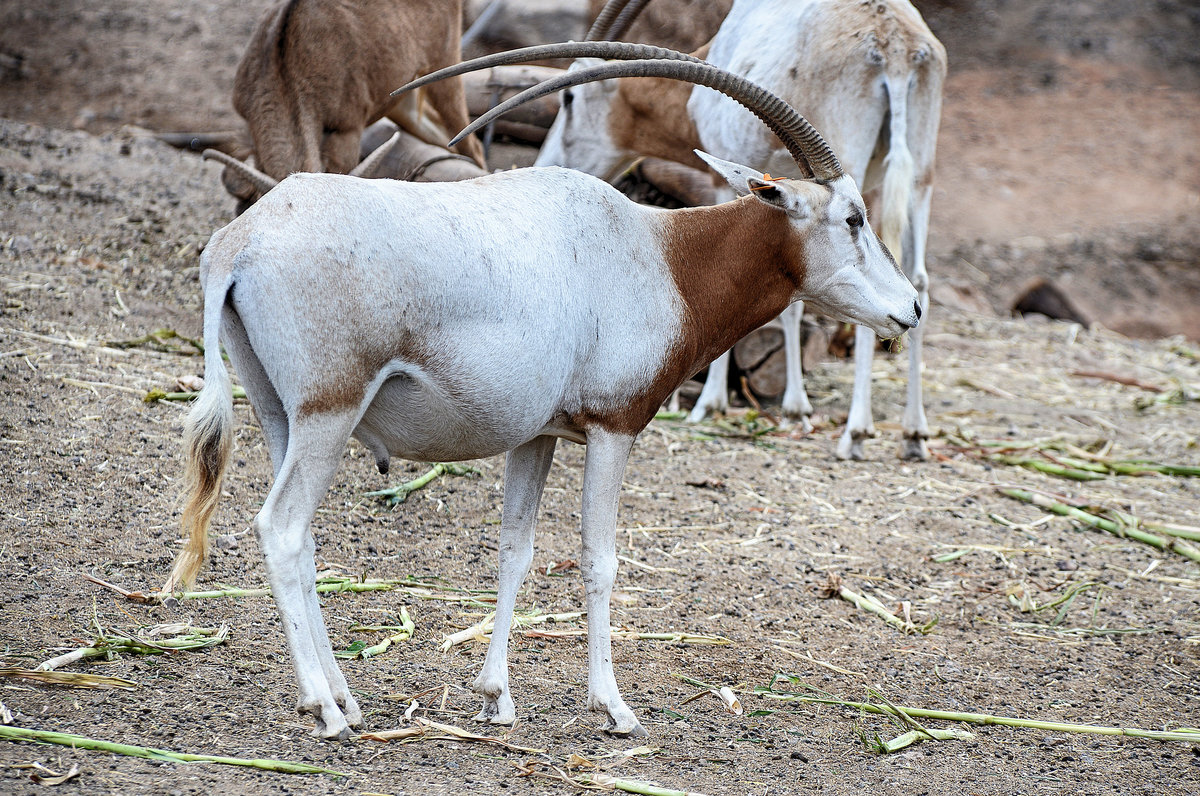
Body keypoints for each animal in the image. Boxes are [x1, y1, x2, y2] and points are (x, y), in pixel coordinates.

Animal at [164, 52, 916, 744]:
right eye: (853, 218)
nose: (911, 307)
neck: (663, 256)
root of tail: (238, 242)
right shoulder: (614, 428)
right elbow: (598, 558)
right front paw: (613, 707)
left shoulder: (539, 435)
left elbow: (514, 549)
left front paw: (495, 695)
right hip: (330, 410)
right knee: (282, 527)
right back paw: (323, 706)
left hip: (280, 414)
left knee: (304, 536)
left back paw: (344, 697)